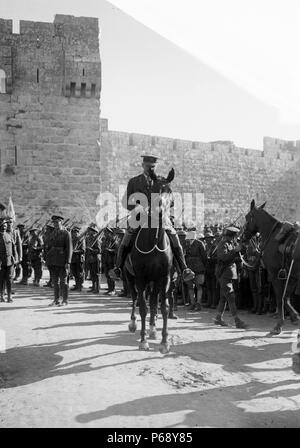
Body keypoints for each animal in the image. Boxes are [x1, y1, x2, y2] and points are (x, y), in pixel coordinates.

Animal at [126, 168, 173, 354]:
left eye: (169, 191)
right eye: (154, 190)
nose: (160, 212)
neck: (153, 241)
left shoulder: (164, 278)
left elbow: (163, 307)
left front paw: (164, 342)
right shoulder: (140, 278)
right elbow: (143, 307)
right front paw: (143, 340)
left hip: (155, 281)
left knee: (153, 301)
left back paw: (153, 329)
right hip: (130, 278)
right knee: (135, 299)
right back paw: (133, 324)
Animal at [243, 200, 300, 336]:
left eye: (247, 217)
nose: (241, 237)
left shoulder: (275, 275)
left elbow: (280, 298)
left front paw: (279, 325)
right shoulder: (291, 275)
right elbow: (286, 298)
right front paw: (295, 317)